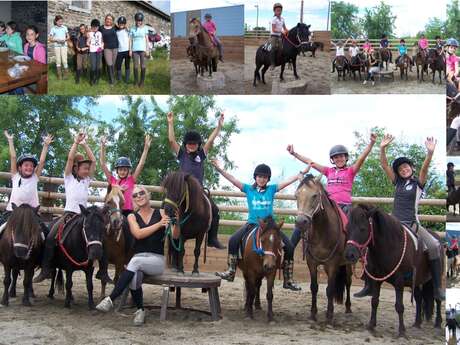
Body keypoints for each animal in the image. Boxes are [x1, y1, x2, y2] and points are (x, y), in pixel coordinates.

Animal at [294, 175, 352, 322]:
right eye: (296, 196)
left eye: (315, 195)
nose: (301, 222)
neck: (322, 232)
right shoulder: (312, 263)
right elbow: (314, 287)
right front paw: (313, 313)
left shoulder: (332, 264)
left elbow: (330, 289)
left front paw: (329, 316)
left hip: (349, 263)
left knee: (348, 282)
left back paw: (348, 307)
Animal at [344, 204, 442, 336]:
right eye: (347, 228)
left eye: (363, 229)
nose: (349, 255)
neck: (390, 246)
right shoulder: (377, 279)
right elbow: (374, 301)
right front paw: (371, 325)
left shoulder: (399, 281)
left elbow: (399, 306)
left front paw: (401, 331)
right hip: (417, 282)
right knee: (419, 298)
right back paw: (417, 323)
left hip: (436, 278)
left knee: (437, 298)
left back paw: (438, 323)